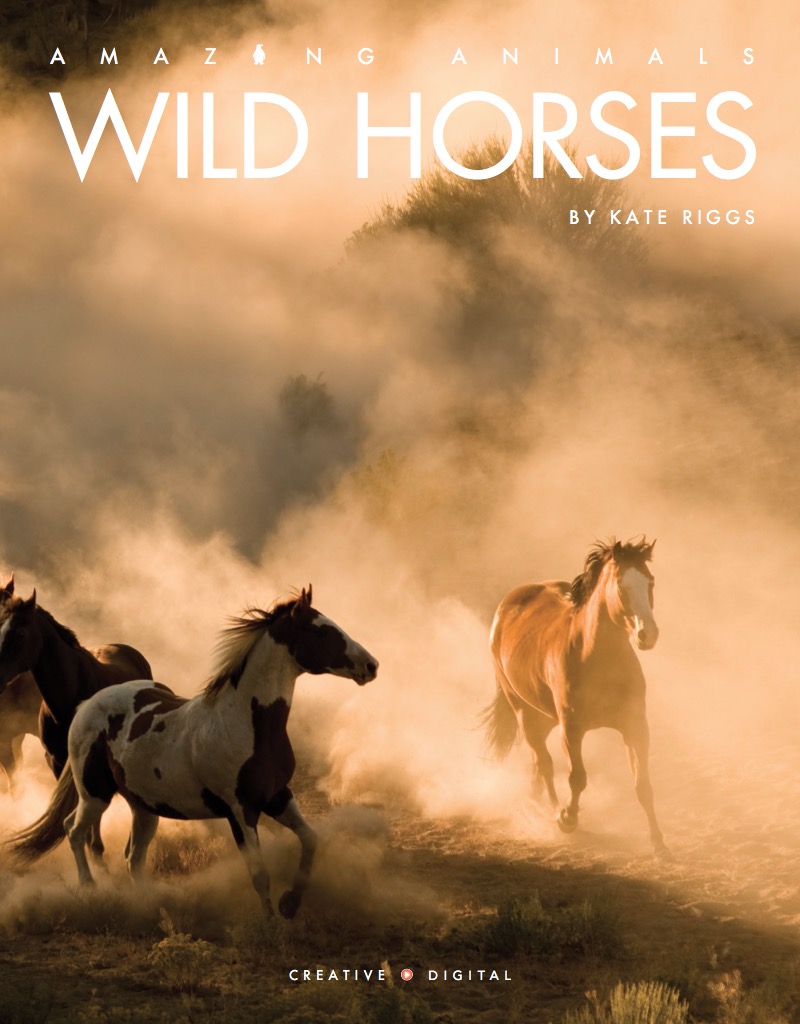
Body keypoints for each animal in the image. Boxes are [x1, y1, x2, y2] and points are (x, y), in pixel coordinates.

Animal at [9, 587, 379, 918]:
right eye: (321, 630)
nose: (371, 665)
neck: (245, 721)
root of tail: (86, 706)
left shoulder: (278, 797)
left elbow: (311, 840)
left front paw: (290, 904)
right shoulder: (240, 811)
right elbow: (259, 874)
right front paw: (272, 924)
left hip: (144, 808)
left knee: (133, 857)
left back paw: (148, 905)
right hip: (95, 794)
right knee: (74, 831)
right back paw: (90, 889)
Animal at [484, 538, 666, 854]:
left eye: (650, 582)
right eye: (621, 586)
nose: (648, 634)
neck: (595, 658)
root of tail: (508, 603)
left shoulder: (635, 726)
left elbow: (643, 784)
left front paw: (658, 842)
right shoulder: (571, 728)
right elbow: (577, 778)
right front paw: (567, 818)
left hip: (545, 719)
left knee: (538, 765)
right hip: (524, 714)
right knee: (544, 764)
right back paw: (552, 811)